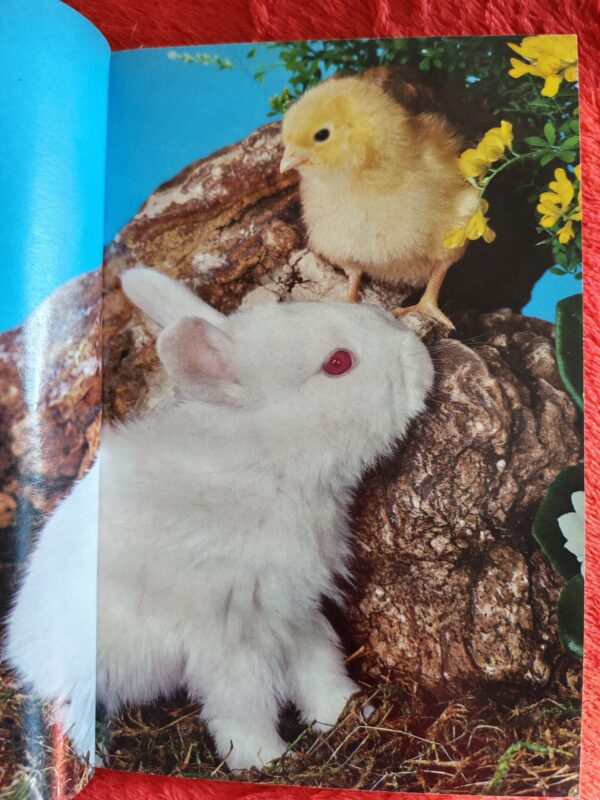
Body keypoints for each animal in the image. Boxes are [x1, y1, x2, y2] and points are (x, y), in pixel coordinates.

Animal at [5, 267, 434, 770]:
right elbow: (244, 705)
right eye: (338, 362)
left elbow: (320, 667)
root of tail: (19, 645)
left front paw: (348, 715)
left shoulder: (296, 610)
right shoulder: (230, 640)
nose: (419, 355)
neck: (267, 460)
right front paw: (266, 760)